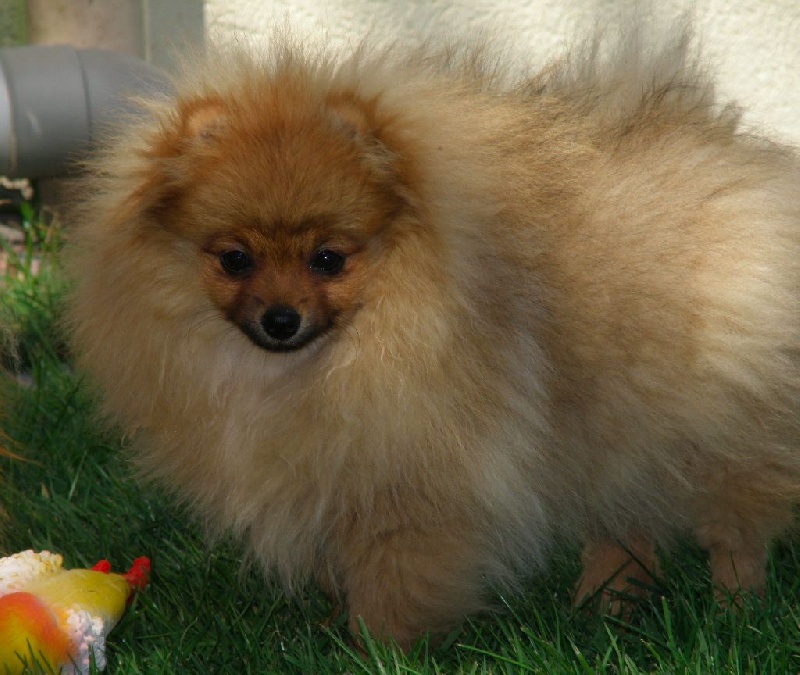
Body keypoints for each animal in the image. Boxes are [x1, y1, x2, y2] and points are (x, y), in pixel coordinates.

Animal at [65, 25, 800, 648]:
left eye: (328, 259)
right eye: (235, 259)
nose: (280, 318)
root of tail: (732, 166)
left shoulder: (411, 481)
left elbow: (396, 577)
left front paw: (377, 648)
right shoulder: (326, 473)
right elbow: (340, 565)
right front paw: (330, 629)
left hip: (712, 433)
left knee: (735, 525)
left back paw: (735, 609)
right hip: (621, 429)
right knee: (625, 523)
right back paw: (605, 604)